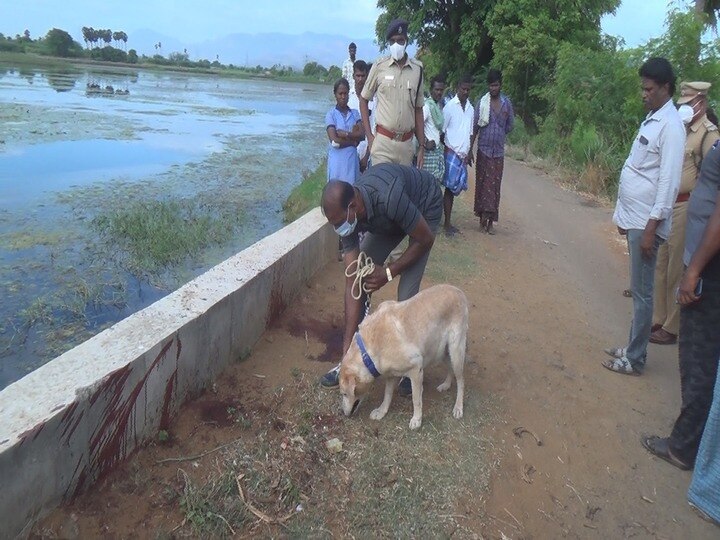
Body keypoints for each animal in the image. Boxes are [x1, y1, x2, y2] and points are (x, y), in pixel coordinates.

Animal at [340, 282, 470, 430]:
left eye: (344, 394)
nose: (342, 413)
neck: (367, 353)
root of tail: (458, 290)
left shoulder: (416, 369)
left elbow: (416, 399)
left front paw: (417, 419)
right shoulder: (391, 374)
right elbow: (387, 394)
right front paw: (382, 411)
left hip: (455, 350)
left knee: (461, 380)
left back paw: (458, 407)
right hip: (442, 351)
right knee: (450, 368)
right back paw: (446, 385)